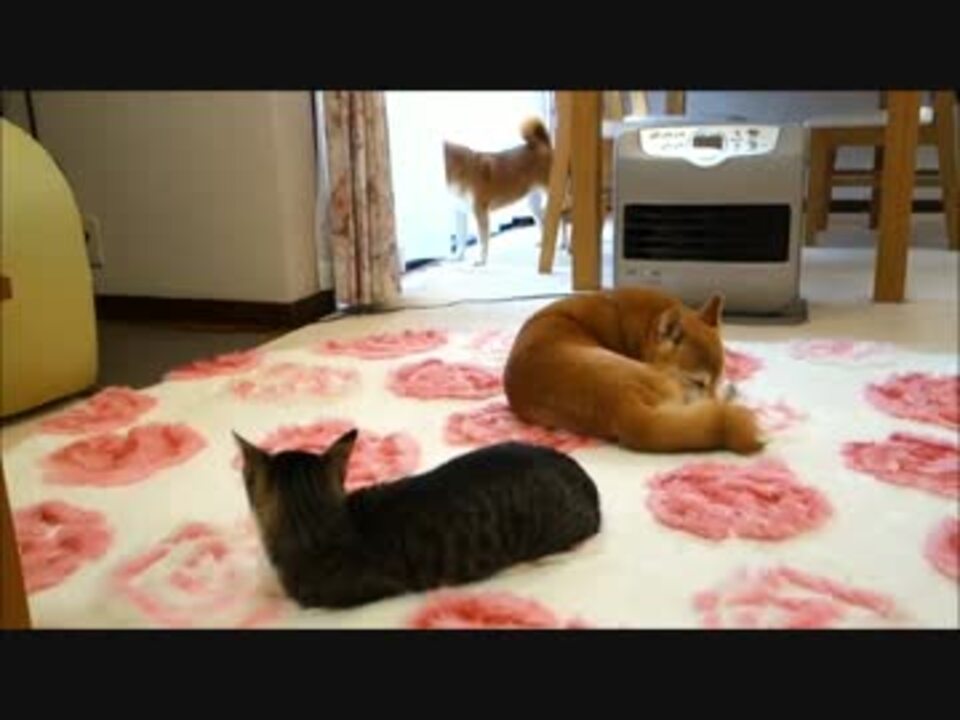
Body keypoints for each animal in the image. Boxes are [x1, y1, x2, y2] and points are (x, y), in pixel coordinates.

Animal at [443, 117, 552, 265]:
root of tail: (542, 145)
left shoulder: (480, 212)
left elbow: (482, 241)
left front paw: (481, 260)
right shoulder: (460, 213)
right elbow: (460, 239)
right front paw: (458, 257)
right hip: (533, 203)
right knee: (543, 221)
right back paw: (543, 243)